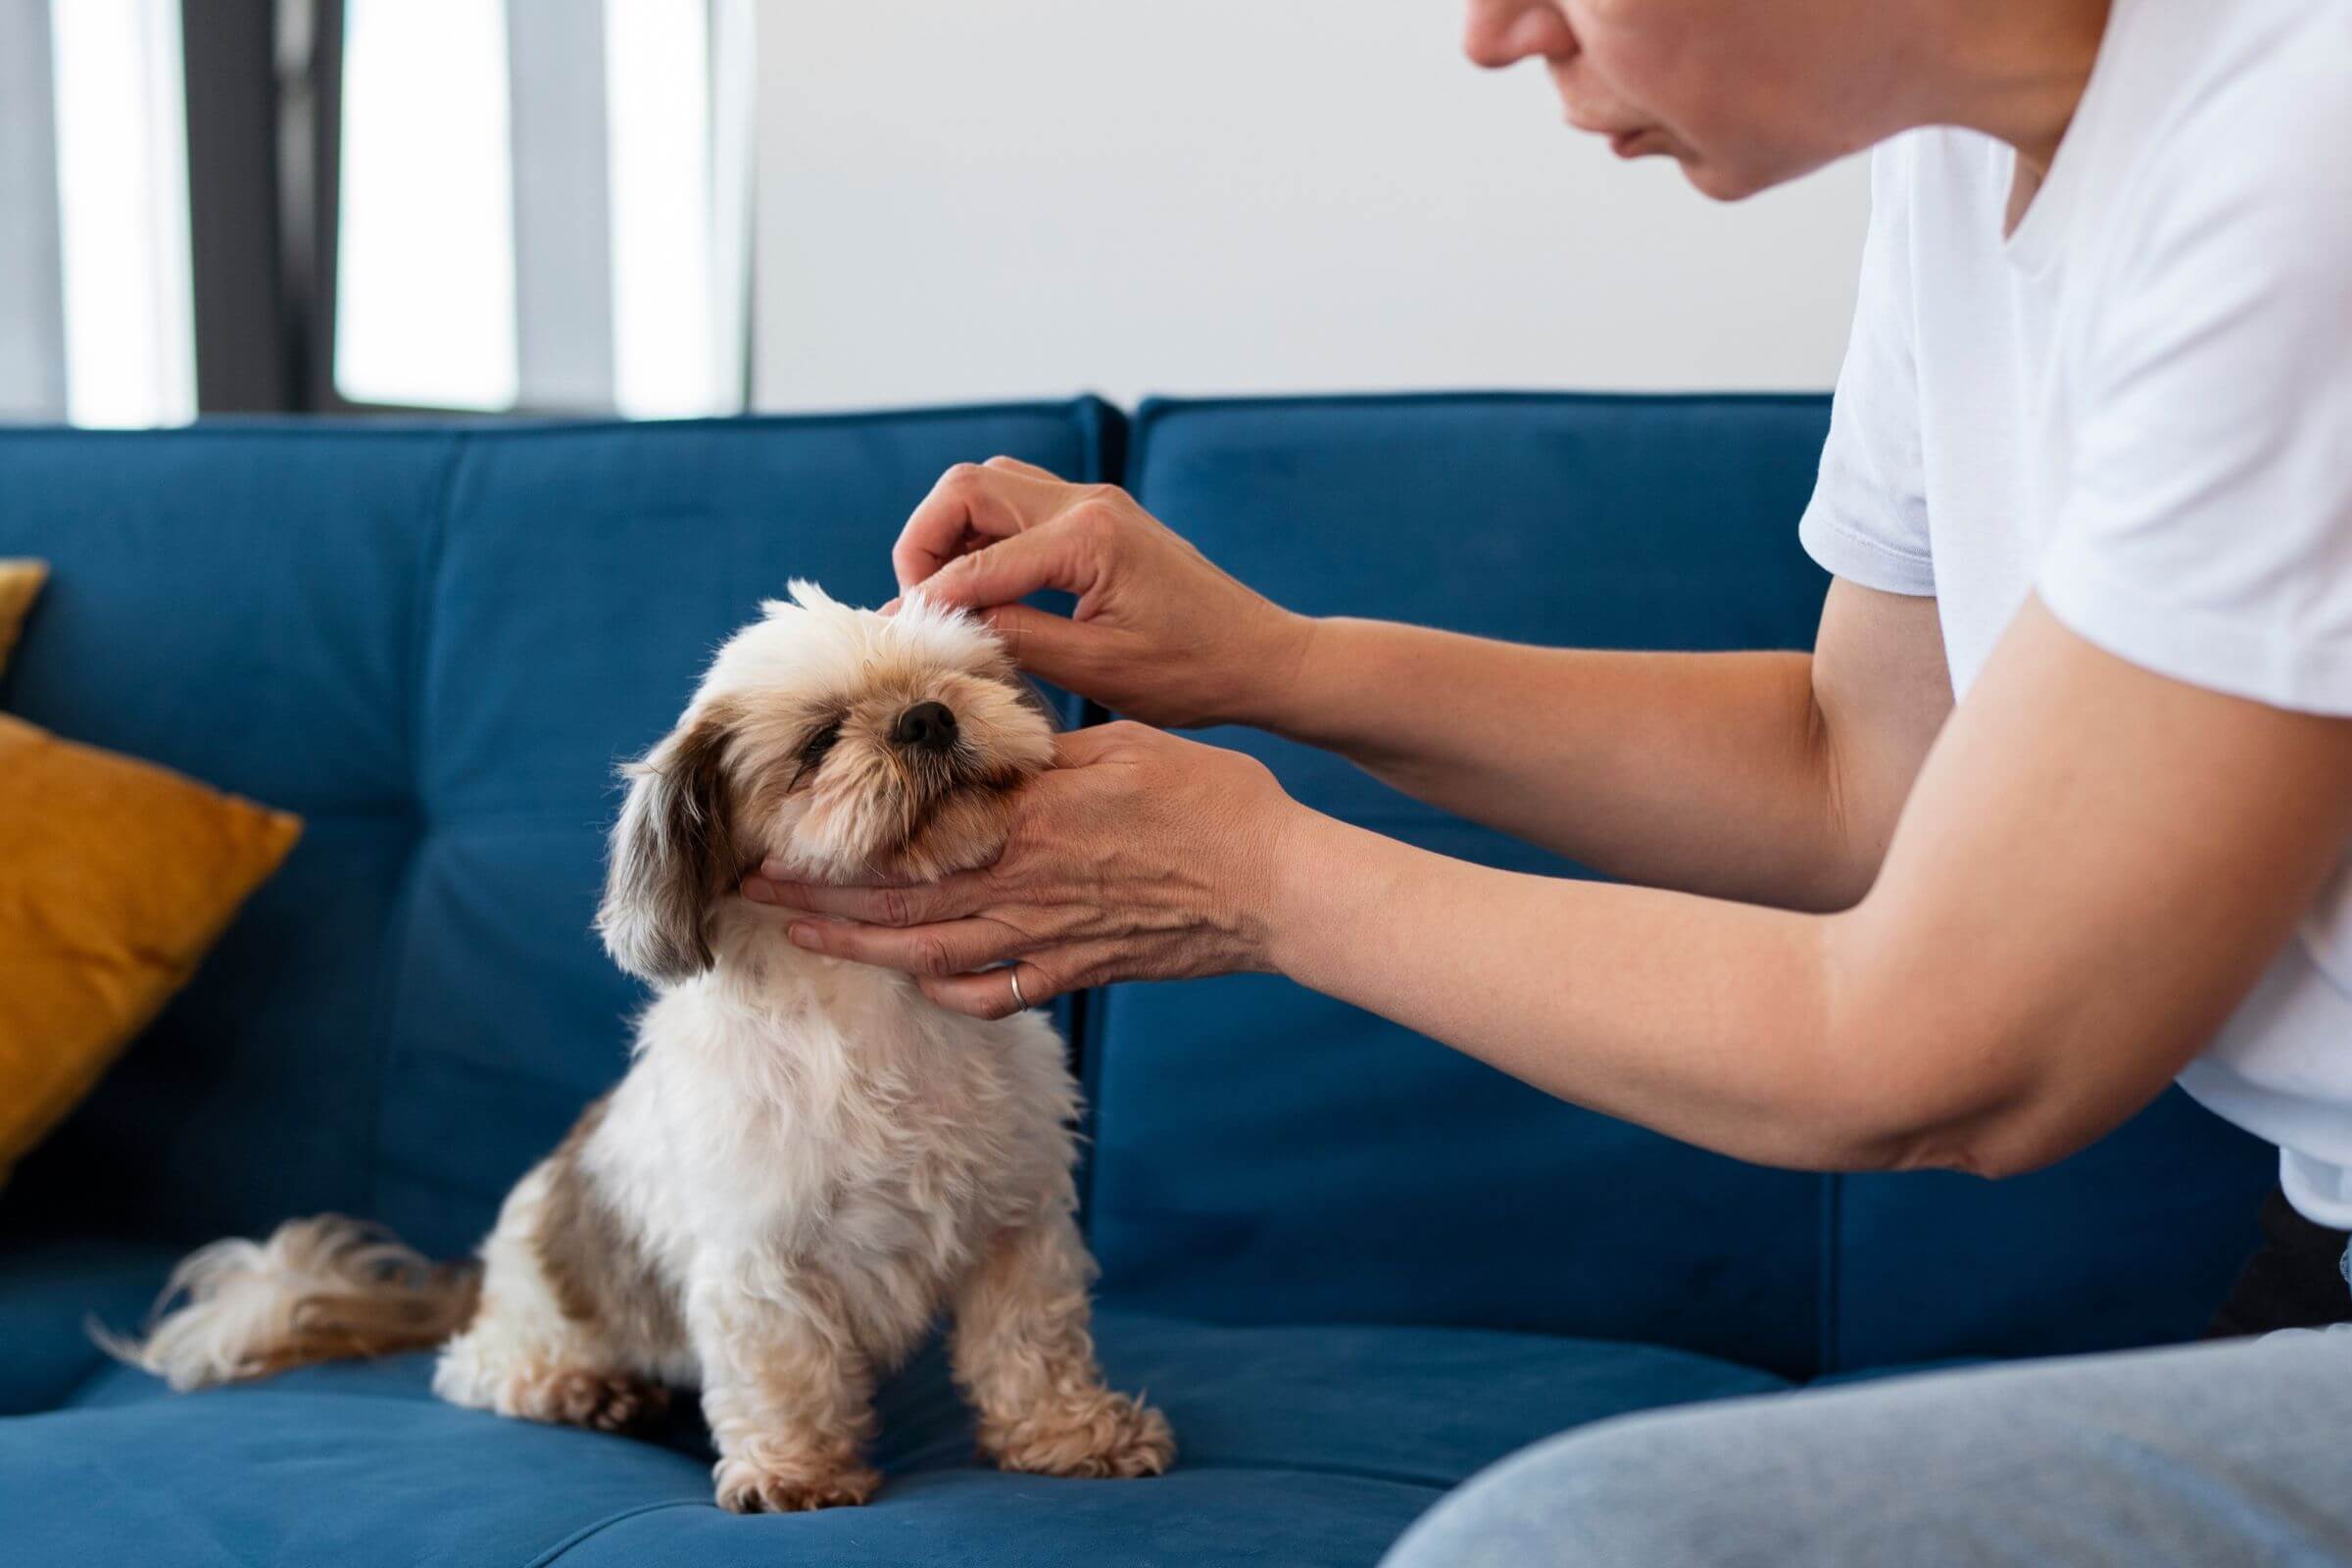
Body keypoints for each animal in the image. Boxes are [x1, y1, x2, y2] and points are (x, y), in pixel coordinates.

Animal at [108, 582, 1176, 1513]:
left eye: (959, 678)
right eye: (819, 741)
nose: (926, 718)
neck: (880, 1008)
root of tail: (482, 1273)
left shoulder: (1020, 1223)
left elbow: (1030, 1345)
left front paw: (1074, 1437)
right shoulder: (758, 1261)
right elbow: (785, 1371)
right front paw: (793, 1473)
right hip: (545, 1322)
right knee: (476, 1371)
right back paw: (586, 1391)